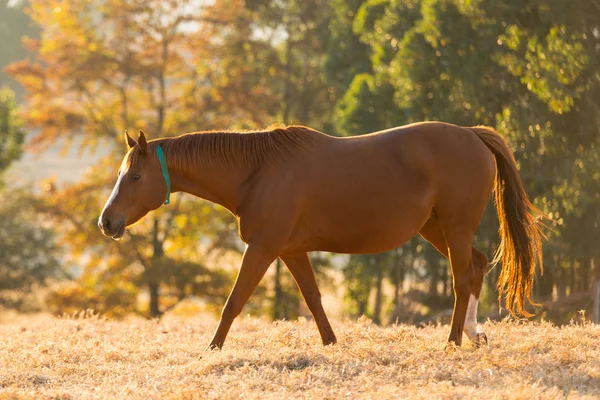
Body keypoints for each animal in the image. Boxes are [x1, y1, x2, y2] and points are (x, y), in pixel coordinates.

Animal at [98, 122, 544, 350]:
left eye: (134, 177)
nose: (107, 222)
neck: (257, 171)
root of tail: (472, 134)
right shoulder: (291, 252)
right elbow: (314, 301)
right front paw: (331, 344)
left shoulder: (263, 248)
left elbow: (233, 302)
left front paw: (213, 350)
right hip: (436, 227)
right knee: (478, 266)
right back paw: (473, 334)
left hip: (453, 227)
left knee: (462, 279)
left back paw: (452, 342)